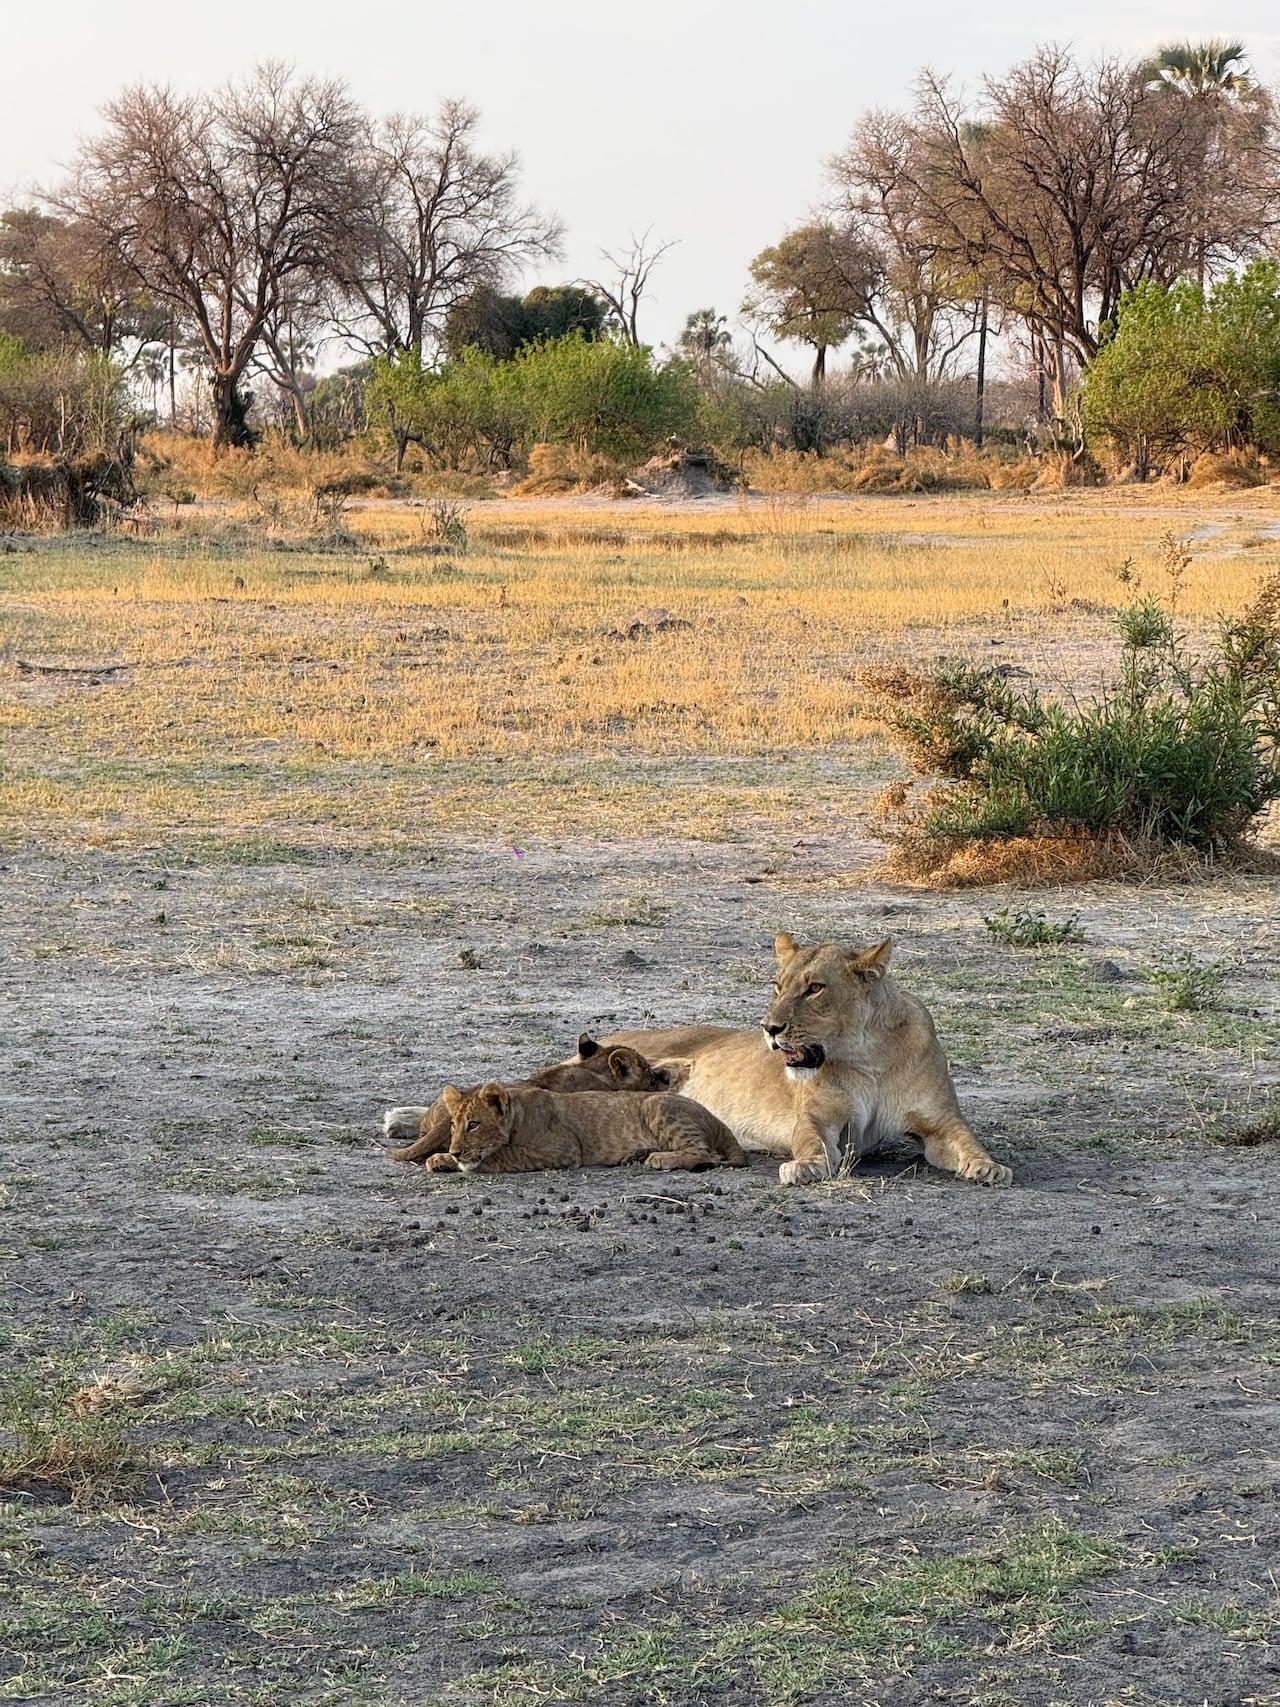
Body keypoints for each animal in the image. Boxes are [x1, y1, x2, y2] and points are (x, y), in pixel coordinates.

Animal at [424, 1083, 750, 1175]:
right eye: (453, 1125)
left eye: (474, 1124)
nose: (455, 1150)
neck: (519, 1115)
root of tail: (717, 1119)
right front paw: (441, 1158)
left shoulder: (563, 1149)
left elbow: (505, 1155)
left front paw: (469, 1162)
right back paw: (636, 1155)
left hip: (655, 1103)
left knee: (706, 1153)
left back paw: (660, 1158)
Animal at [596, 932, 1012, 1189]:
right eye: (777, 987)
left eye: (814, 989)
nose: (769, 1028)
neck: (868, 1056)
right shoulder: (817, 1117)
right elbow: (812, 1141)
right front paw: (806, 1166)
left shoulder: (939, 1121)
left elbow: (967, 1140)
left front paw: (989, 1167)